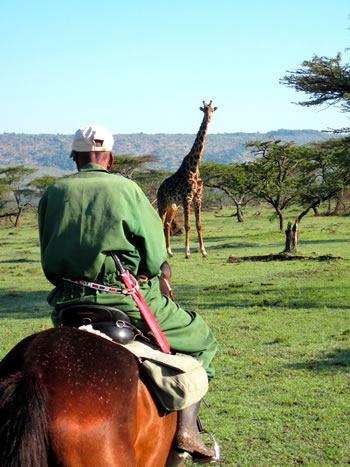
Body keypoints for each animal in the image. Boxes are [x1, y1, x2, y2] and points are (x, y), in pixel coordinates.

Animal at [157, 100, 217, 260]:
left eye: (212, 110)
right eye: (204, 110)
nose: (209, 119)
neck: (194, 166)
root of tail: (159, 188)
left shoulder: (198, 197)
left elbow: (199, 224)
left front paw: (203, 251)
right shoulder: (187, 197)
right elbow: (188, 225)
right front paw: (187, 252)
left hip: (173, 205)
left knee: (167, 224)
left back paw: (169, 251)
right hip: (162, 203)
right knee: (160, 222)